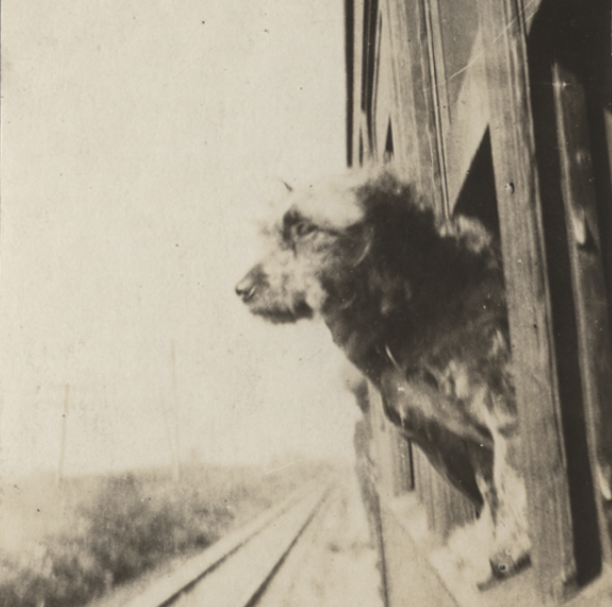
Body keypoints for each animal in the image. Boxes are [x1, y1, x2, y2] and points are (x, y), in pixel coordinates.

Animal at [235, 169, 532, 588]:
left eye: (305, 229)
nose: (242, 289)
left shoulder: (502, 404)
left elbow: (512, 479)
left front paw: (508, 546)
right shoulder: (471, 440)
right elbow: (490, 489)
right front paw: (486, 542)